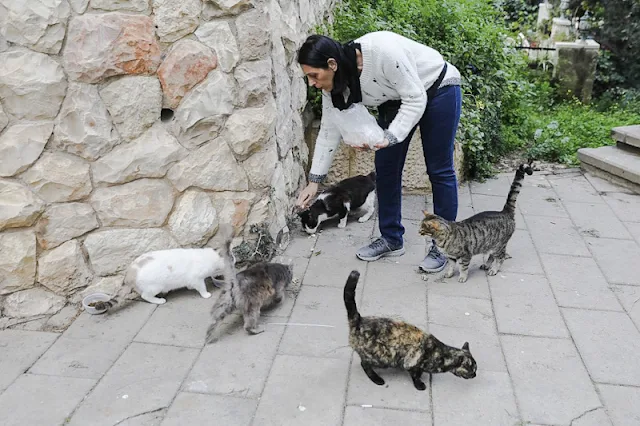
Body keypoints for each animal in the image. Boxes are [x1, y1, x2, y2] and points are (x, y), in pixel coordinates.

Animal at [344, 270, 476, 390]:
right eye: (472, 369)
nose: (475, 375)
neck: (442, 355)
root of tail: (359, 319)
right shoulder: (412, 363)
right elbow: (415, 375)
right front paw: (419, 384)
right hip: (381, 357)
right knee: (364, 363)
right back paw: (377, 379)